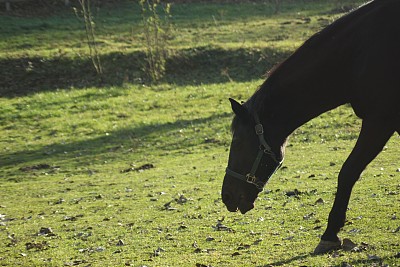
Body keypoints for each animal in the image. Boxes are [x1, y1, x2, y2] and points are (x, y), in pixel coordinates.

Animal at [222, 0, 400, 255]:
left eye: (236, 142)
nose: (226, 196)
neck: (357, 53)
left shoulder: (379, 121)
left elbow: (348, 172)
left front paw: (330, 234)